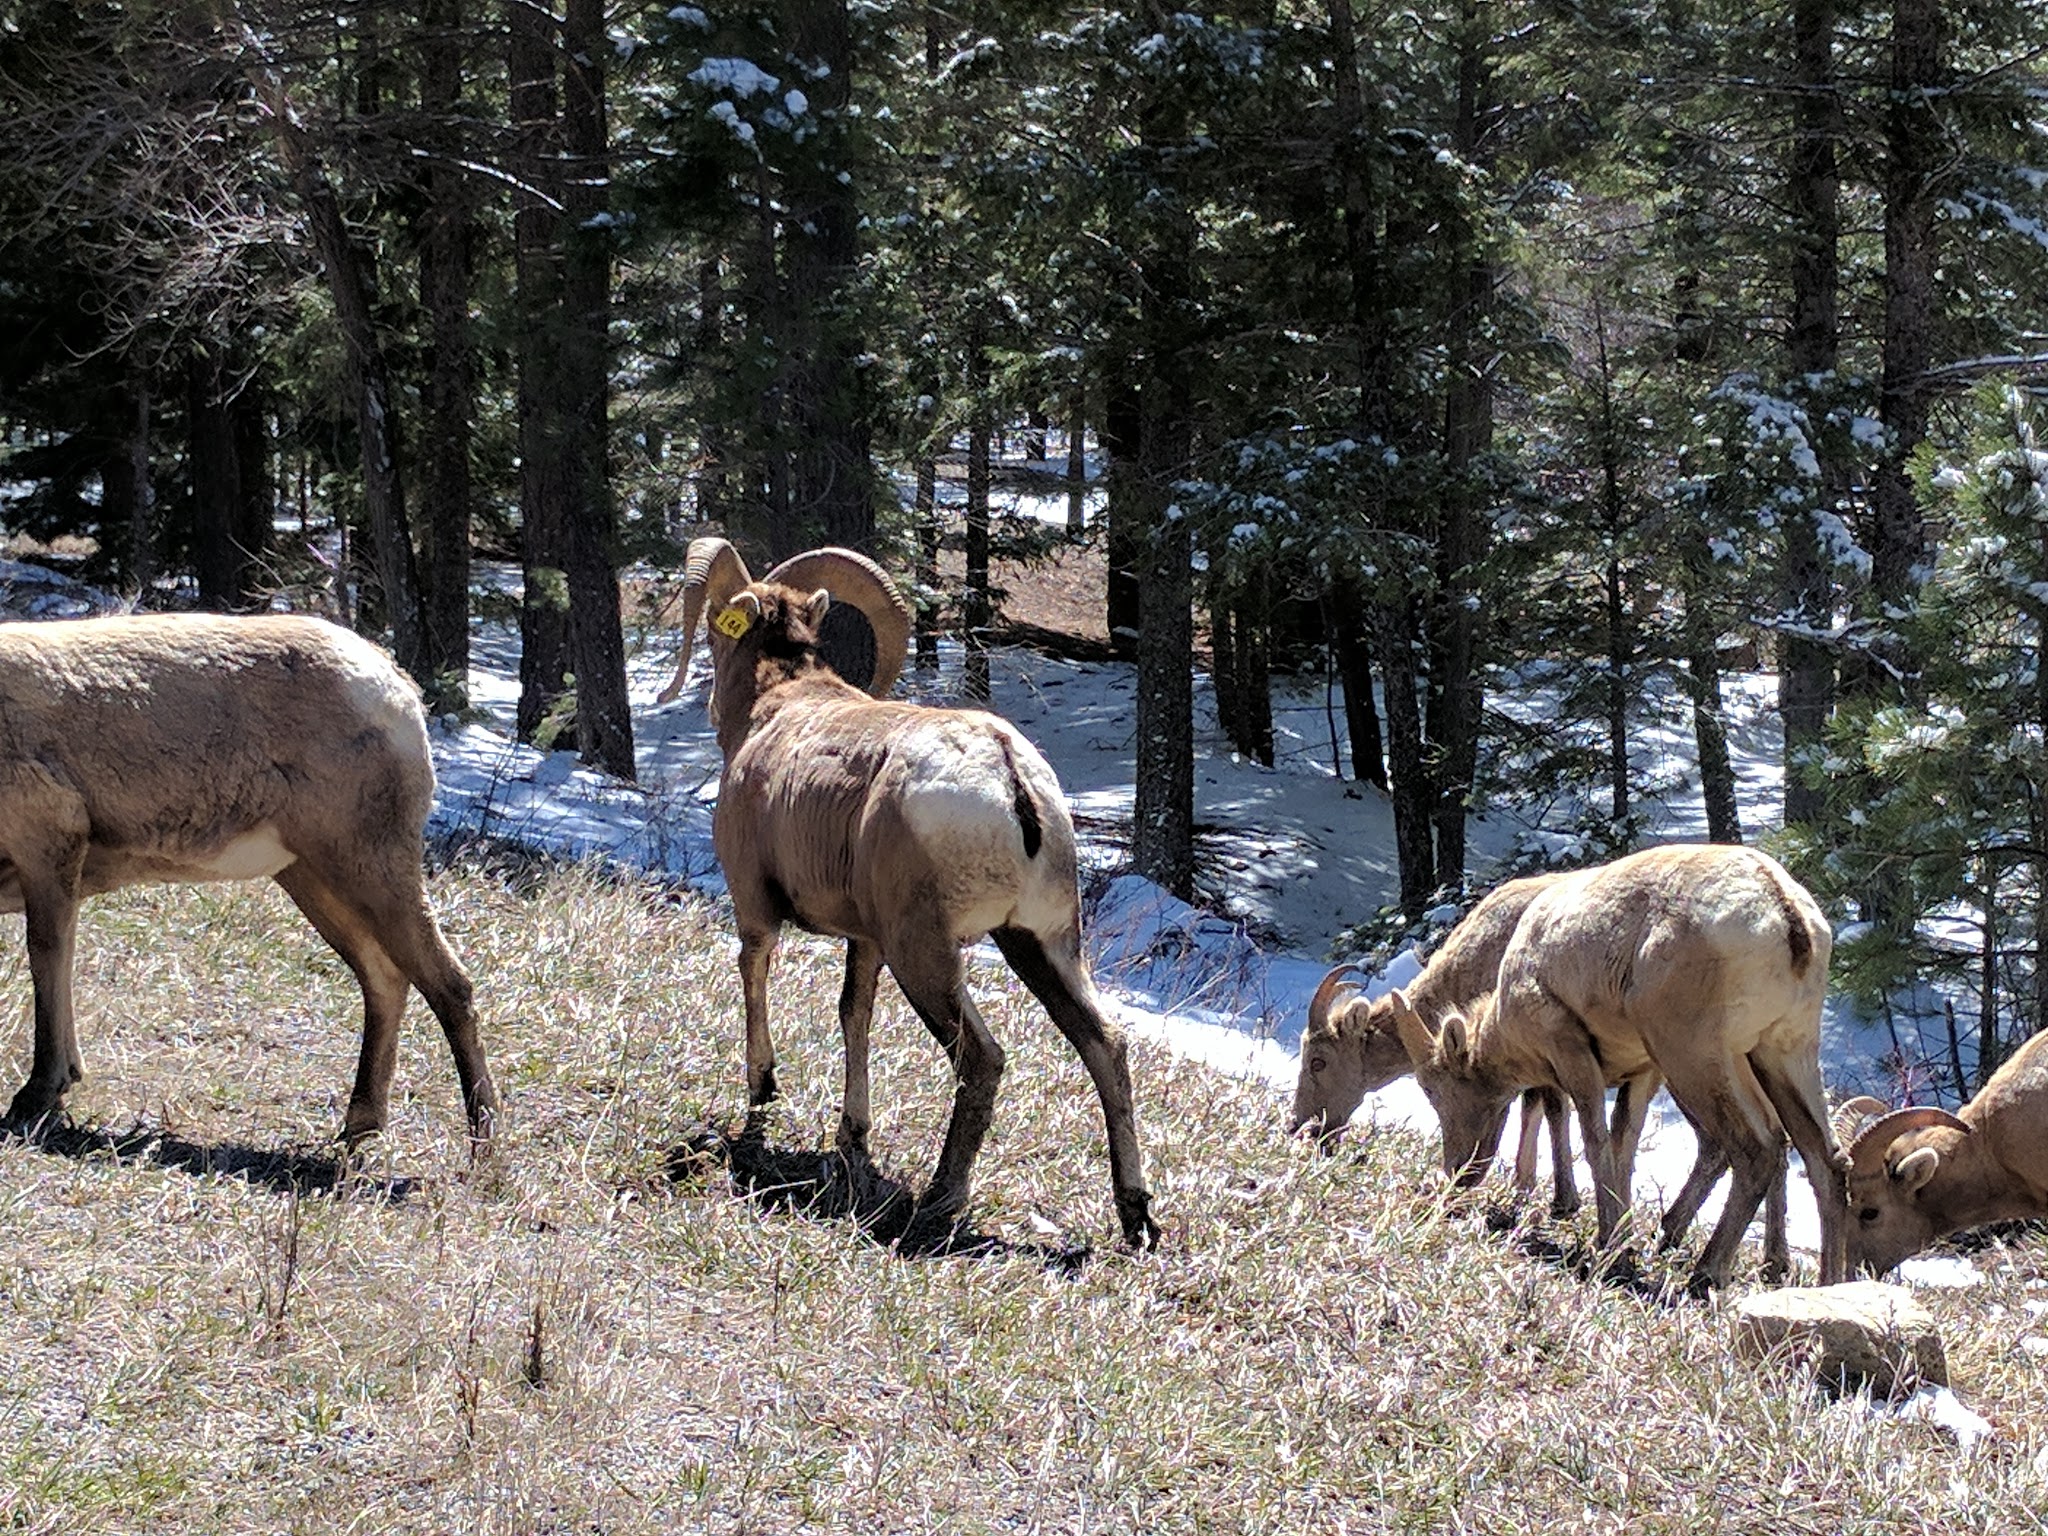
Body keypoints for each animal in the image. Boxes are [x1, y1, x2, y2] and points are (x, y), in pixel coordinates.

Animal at [0, 613, 498, 1147]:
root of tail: (401, 694)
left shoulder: (49, 842)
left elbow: (46, 956)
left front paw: (36, 1097)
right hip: (312, 877)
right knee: (386, 979)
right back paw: (358, 1130)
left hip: (368, 866)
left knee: (451, 985)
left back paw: (482, 1147)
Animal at [663, 537, 1158, 1251]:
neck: (773, 712)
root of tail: (1011, 778)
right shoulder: (865, 940)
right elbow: (854, 1016)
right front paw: (852, 1140)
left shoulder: (756, 908)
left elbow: (754, 978)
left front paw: (763, 1093)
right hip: (1040, 944)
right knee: (1105, 1044)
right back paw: (1135, 1216)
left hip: (925, 954)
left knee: (982, 1059)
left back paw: (938, 1203)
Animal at [1387, 844, 1847, 1291]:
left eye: (1432, 1089)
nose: (1454, 1174)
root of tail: (1788, 918)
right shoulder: (1641, 1072)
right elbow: (1624, 1146)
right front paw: (1619, 1247)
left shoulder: (1572, 1050)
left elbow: (1595, 1142)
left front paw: (1611, 1254)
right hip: (1784, 1049)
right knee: (1824, 1156)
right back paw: (1827, 1285)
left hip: (1695, 1054)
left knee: (1757, 1147)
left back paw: (1705, 1275)